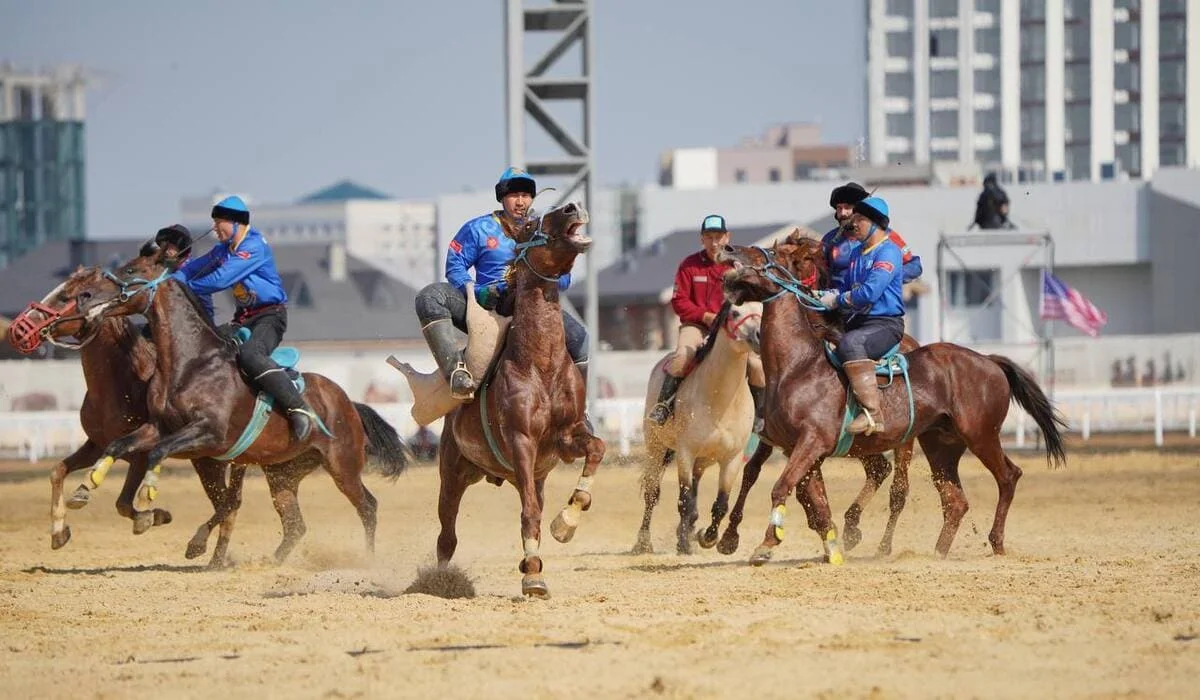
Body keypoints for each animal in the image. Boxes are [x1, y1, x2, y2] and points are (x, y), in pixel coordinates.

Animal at [5, 268, 240, 564]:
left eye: (65, 297)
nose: (17, 329)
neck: (121, 381)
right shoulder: (97, 444)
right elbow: (57, 471)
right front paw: (59, 531)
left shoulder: (140, 453)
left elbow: (124, 503)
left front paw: (153, 516)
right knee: (228, 503)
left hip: (213, 460)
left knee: (229, 504)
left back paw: (212, 554)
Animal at [62, 252, 417, 564]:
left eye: (131, 269)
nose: (85, 296)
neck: (192, 364)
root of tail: (349, 403)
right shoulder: (159, 428)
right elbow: (119, 444)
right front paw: (85, 487)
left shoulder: (209, 433)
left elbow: (158, 453)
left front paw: (147, 493)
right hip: (282, 474)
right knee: (293, 524)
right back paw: (268, 561)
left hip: (342, 466)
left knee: (367, 506)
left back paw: (368, 560)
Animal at [432, 200, 604, 600]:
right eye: (530, 225)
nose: (574, 206)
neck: (540, 364)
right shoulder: (522, 441)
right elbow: (529, 514)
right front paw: (534, 579)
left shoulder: (566, 438)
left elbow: (597, 449)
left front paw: (566, 521)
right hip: (453, 472)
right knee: (447, 535)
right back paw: (442, 581)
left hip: (531, 475)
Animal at [633, 298, 763, 557]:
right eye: (735, 313)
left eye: (762, 312)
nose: (758, 336)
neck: (720, 399)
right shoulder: (685, 453)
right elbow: (684, 500)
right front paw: (685, 544)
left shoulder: (732, 458)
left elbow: (721, 503)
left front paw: (708, 538)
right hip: (656, 447)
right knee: (652, 494)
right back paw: (643, 543)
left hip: (702, 462)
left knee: (694, 491)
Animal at [715, 235, 1065, 564]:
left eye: (771, 254)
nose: (727, 249)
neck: (799, 365)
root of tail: (989, 361)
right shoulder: (798, 449)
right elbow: (814, 501)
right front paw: (832, 548)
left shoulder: (811, 442)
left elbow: (783, 487)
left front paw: (766, 544)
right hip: (940, 446)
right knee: (954, 501)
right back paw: (935, 553)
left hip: (980, 435)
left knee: (1006, 477)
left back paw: (995, 542)